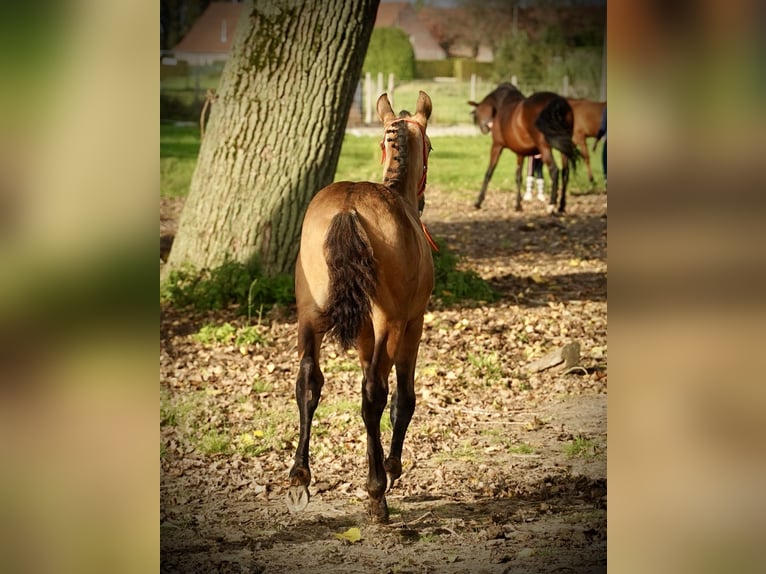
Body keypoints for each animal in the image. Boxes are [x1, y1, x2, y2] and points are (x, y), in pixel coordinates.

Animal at [288, 91, 436, 528]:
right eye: (431, 146)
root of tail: (349, 207)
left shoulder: (365, 334)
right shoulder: (412, 323)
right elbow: (403, 397)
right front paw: (390, 467)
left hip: (310, 316)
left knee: (308, 380)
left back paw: (300, 476)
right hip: (391, 322)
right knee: (374, 393)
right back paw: (376, 494)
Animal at [472, 83, 580, 214]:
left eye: (477, 114)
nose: (484, 129)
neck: (502, 103)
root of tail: (557, 102)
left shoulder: (497, 146)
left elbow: (489, 172)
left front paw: (478, 202)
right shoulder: (520, 153)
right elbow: (518, 176)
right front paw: (518, 205)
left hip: (544, 147)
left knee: (554, 170)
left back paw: (551, 204)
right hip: (563, 146)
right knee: (566, 172)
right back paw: (562, 206)